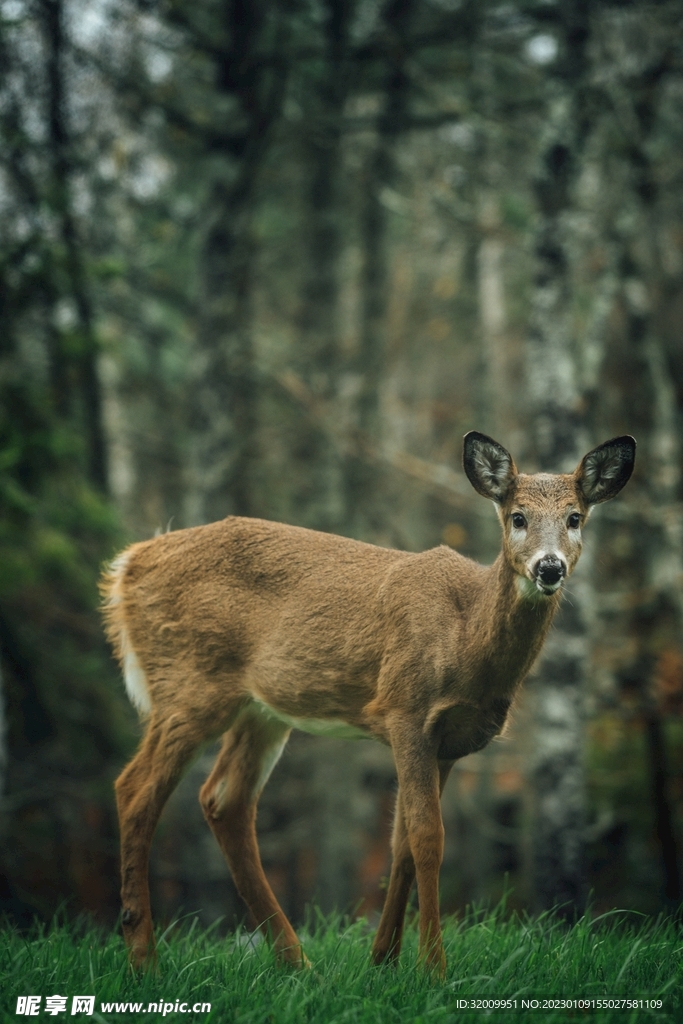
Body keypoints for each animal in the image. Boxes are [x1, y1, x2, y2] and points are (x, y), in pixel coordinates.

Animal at [101, 430, 635, 976]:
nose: (549, 567)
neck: (464, 638)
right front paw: (432, 969)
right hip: (188, 683)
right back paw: (145, 959)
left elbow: (401, 844)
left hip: (262, 709)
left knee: (223, 800)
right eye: (518, 517)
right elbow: (428, 837)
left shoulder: (449, 742)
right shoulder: (406, 709)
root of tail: (127, 565)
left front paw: (383, 960)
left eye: (575, 517)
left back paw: (297, 962)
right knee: (135, 789)